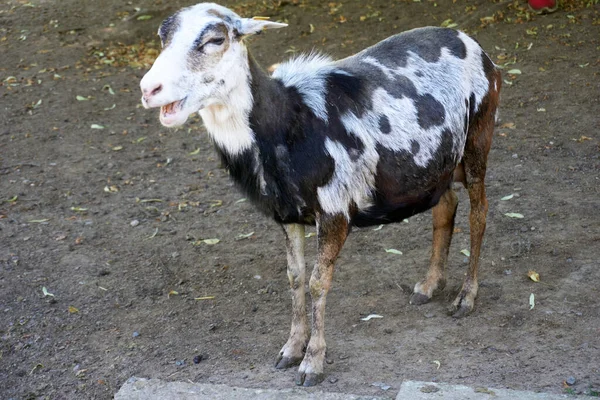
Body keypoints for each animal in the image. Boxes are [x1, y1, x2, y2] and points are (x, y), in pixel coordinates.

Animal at [141, 0, 502, 388]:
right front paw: (289, 351)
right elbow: (295, 277)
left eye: (215, 39)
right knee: (445, 204)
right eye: (162, 37)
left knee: (479, 213)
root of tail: (472, 44)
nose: (149, 89)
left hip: (479, 135)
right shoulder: (287, 213)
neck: (286, 124)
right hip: (435, 165)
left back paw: (465, 297)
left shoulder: (335, 209)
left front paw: (312, 364)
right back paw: (429, 285)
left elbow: (317, 282)